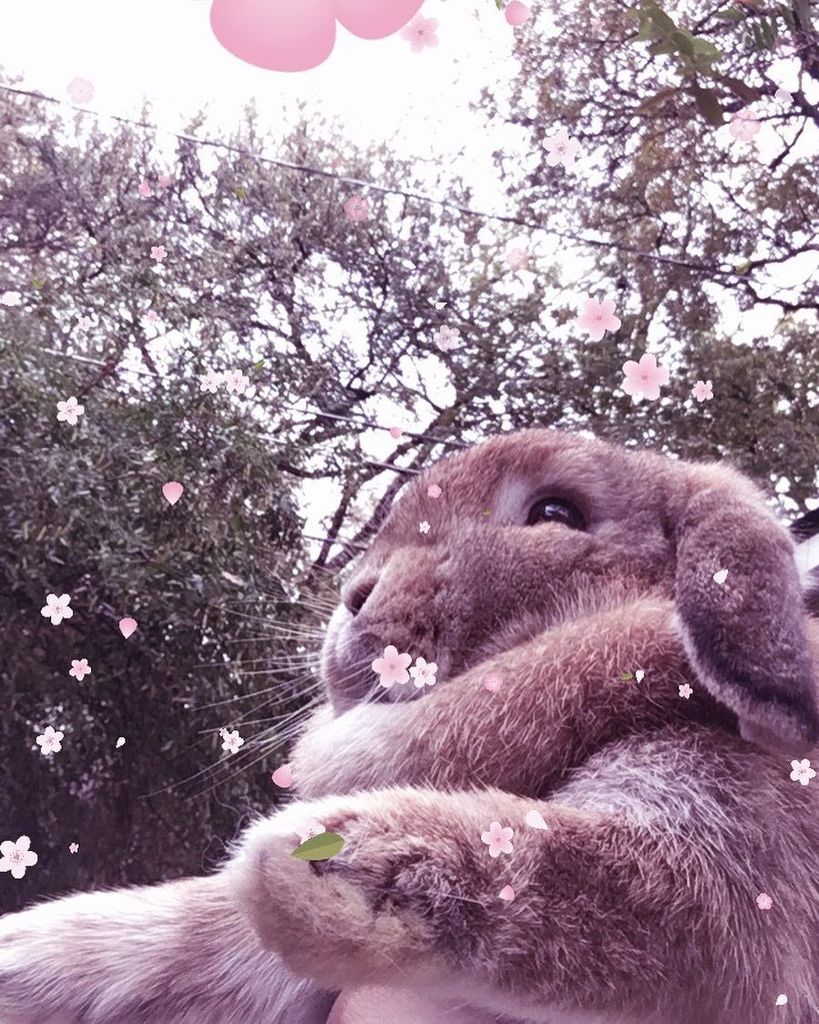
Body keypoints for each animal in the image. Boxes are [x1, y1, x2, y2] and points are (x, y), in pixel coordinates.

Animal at [0, 427, 816, 1024]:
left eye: (556, 514)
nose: (353, 594)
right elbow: (181, 938)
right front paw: (24, 960)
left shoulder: (733, 888)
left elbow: (588, 879)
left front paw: (331, 862)